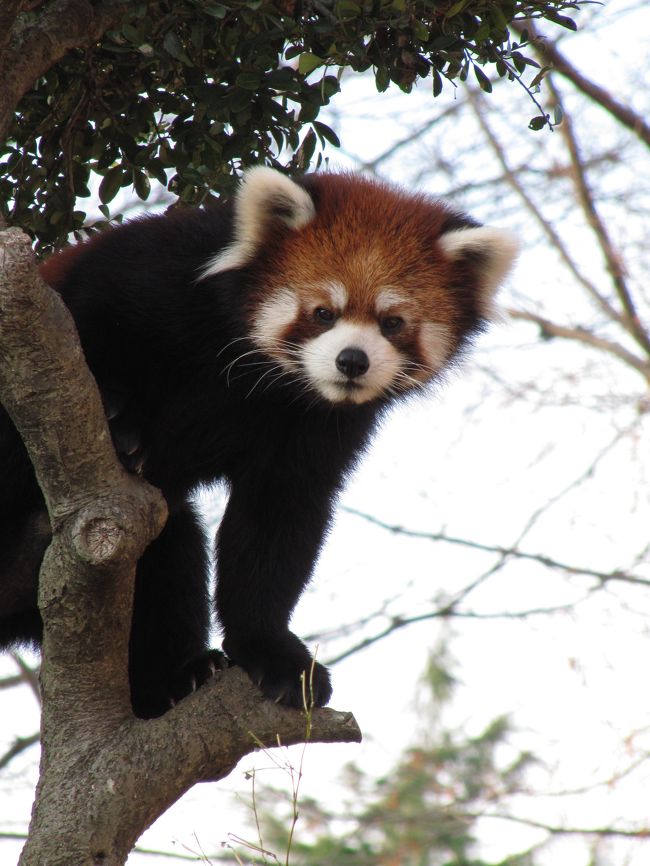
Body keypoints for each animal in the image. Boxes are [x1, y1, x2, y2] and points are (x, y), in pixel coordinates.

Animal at [0, 165, 516, 712]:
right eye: (323, 313)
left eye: (392, 323)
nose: (352, 361)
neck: (265, 382)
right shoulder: (144, 274)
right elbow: (91, 325)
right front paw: (120, 420)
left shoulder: (315, 430)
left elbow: (276, 521)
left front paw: (270, 651)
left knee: (169, 554)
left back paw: (172, 679)